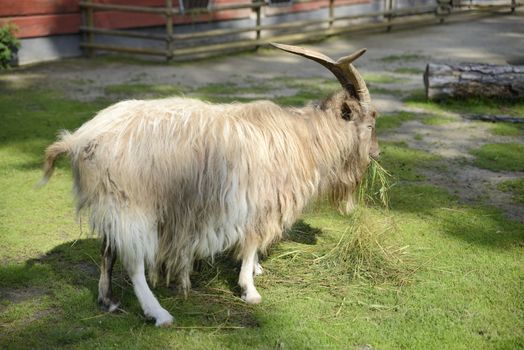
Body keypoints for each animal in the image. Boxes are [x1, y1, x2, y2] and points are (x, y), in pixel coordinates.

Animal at [40, 43, 376, 326]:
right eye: (370, 120)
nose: (376, 153)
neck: (304, 138)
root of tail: (80, 139)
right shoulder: (257, 202)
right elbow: (251, 244)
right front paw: (250, 289)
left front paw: (256, 269)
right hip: (132, 206)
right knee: (133, 263)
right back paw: (159, 314)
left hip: (111, 204)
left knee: (107, 251)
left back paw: (107, 301)